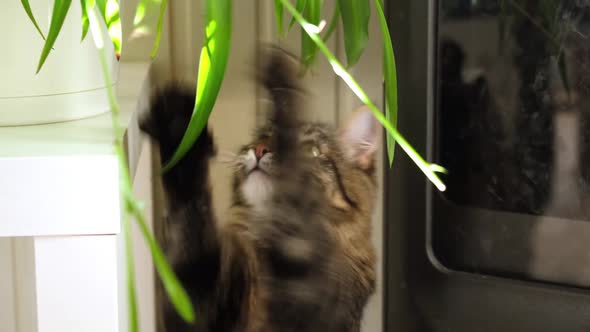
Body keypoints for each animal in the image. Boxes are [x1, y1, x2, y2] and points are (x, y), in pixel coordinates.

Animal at [139, 48, 380, 330]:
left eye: (312, 151)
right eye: (260, 139)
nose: (260, 150)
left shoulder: (306, 308)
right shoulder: (197, 303)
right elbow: (190, 221)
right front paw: (177, 123)